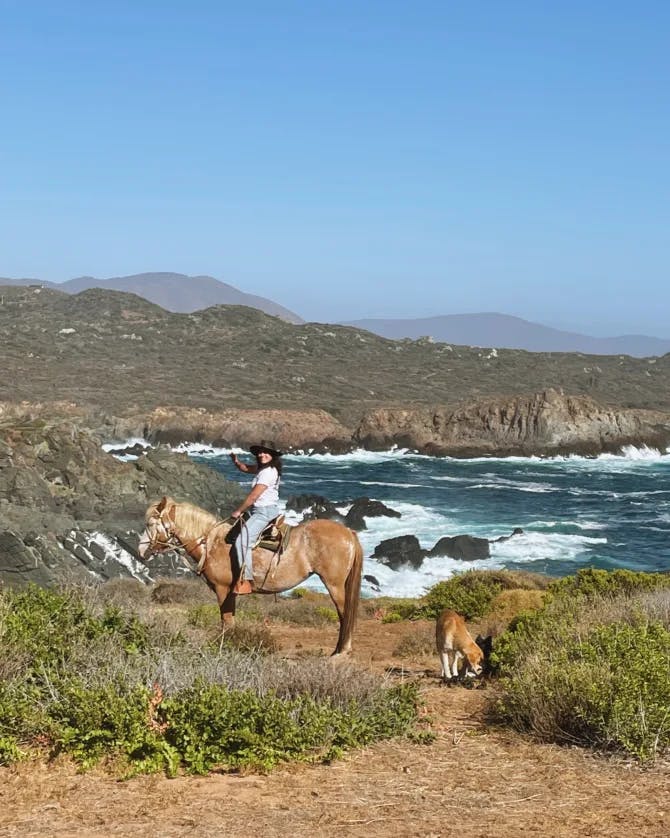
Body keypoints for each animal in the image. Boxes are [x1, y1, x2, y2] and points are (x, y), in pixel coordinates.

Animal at [138, 496, 364, 660]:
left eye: (150, 523)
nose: (141, 551)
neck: (212, 543)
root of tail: (348, 533)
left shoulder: (222, 589)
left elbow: (226, 622)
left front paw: (224, 647)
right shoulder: (230, 593)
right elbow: (230, 620)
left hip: (334, 585)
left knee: (344, 614)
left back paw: (342, 652)